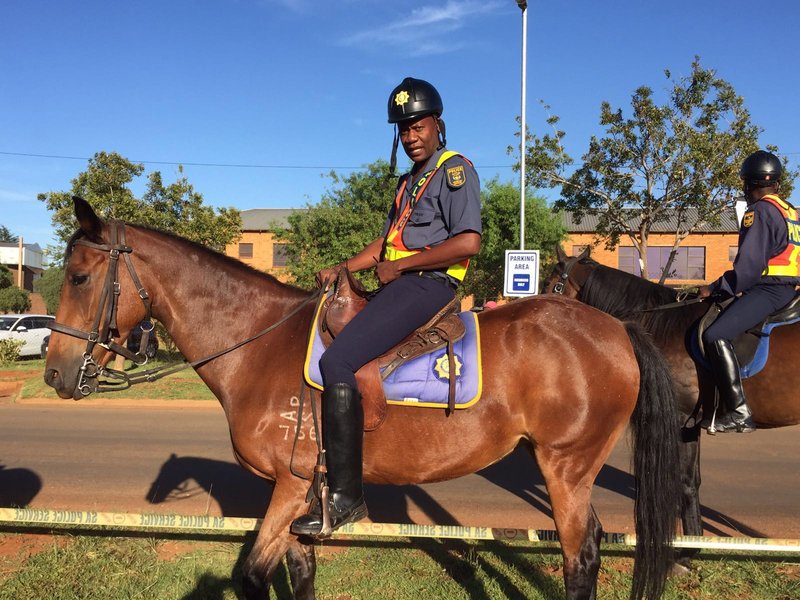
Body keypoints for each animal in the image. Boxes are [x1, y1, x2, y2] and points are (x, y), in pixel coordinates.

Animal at [44, 197, 681, 600]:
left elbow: (251, 578)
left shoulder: (292, 485)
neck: (260, 343)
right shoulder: (301, 500)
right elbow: (300, 575)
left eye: (78, 277)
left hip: (566, 466)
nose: (54, 373)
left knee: (581, 557)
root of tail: (617, 328)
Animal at [543, 245, 800, 568]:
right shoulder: (689, 423)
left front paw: (688, 551)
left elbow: (685, 483)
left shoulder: (681, 420)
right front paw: (693, 545)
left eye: (551, 284)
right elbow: (693, 482)